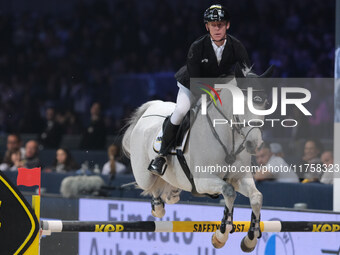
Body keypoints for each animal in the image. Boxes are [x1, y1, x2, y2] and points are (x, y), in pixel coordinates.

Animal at [122, 64, 274, 252]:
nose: (254, 144)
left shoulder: (239, 178)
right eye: (239, 105)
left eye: (265, 104)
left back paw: (172, 193)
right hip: (143, 174)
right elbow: (229, 192)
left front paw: (250, 239)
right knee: (151, 184)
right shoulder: (203, 182)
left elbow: (256, 197)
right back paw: (158, 206)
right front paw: (221, 236)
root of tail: (149, 109)